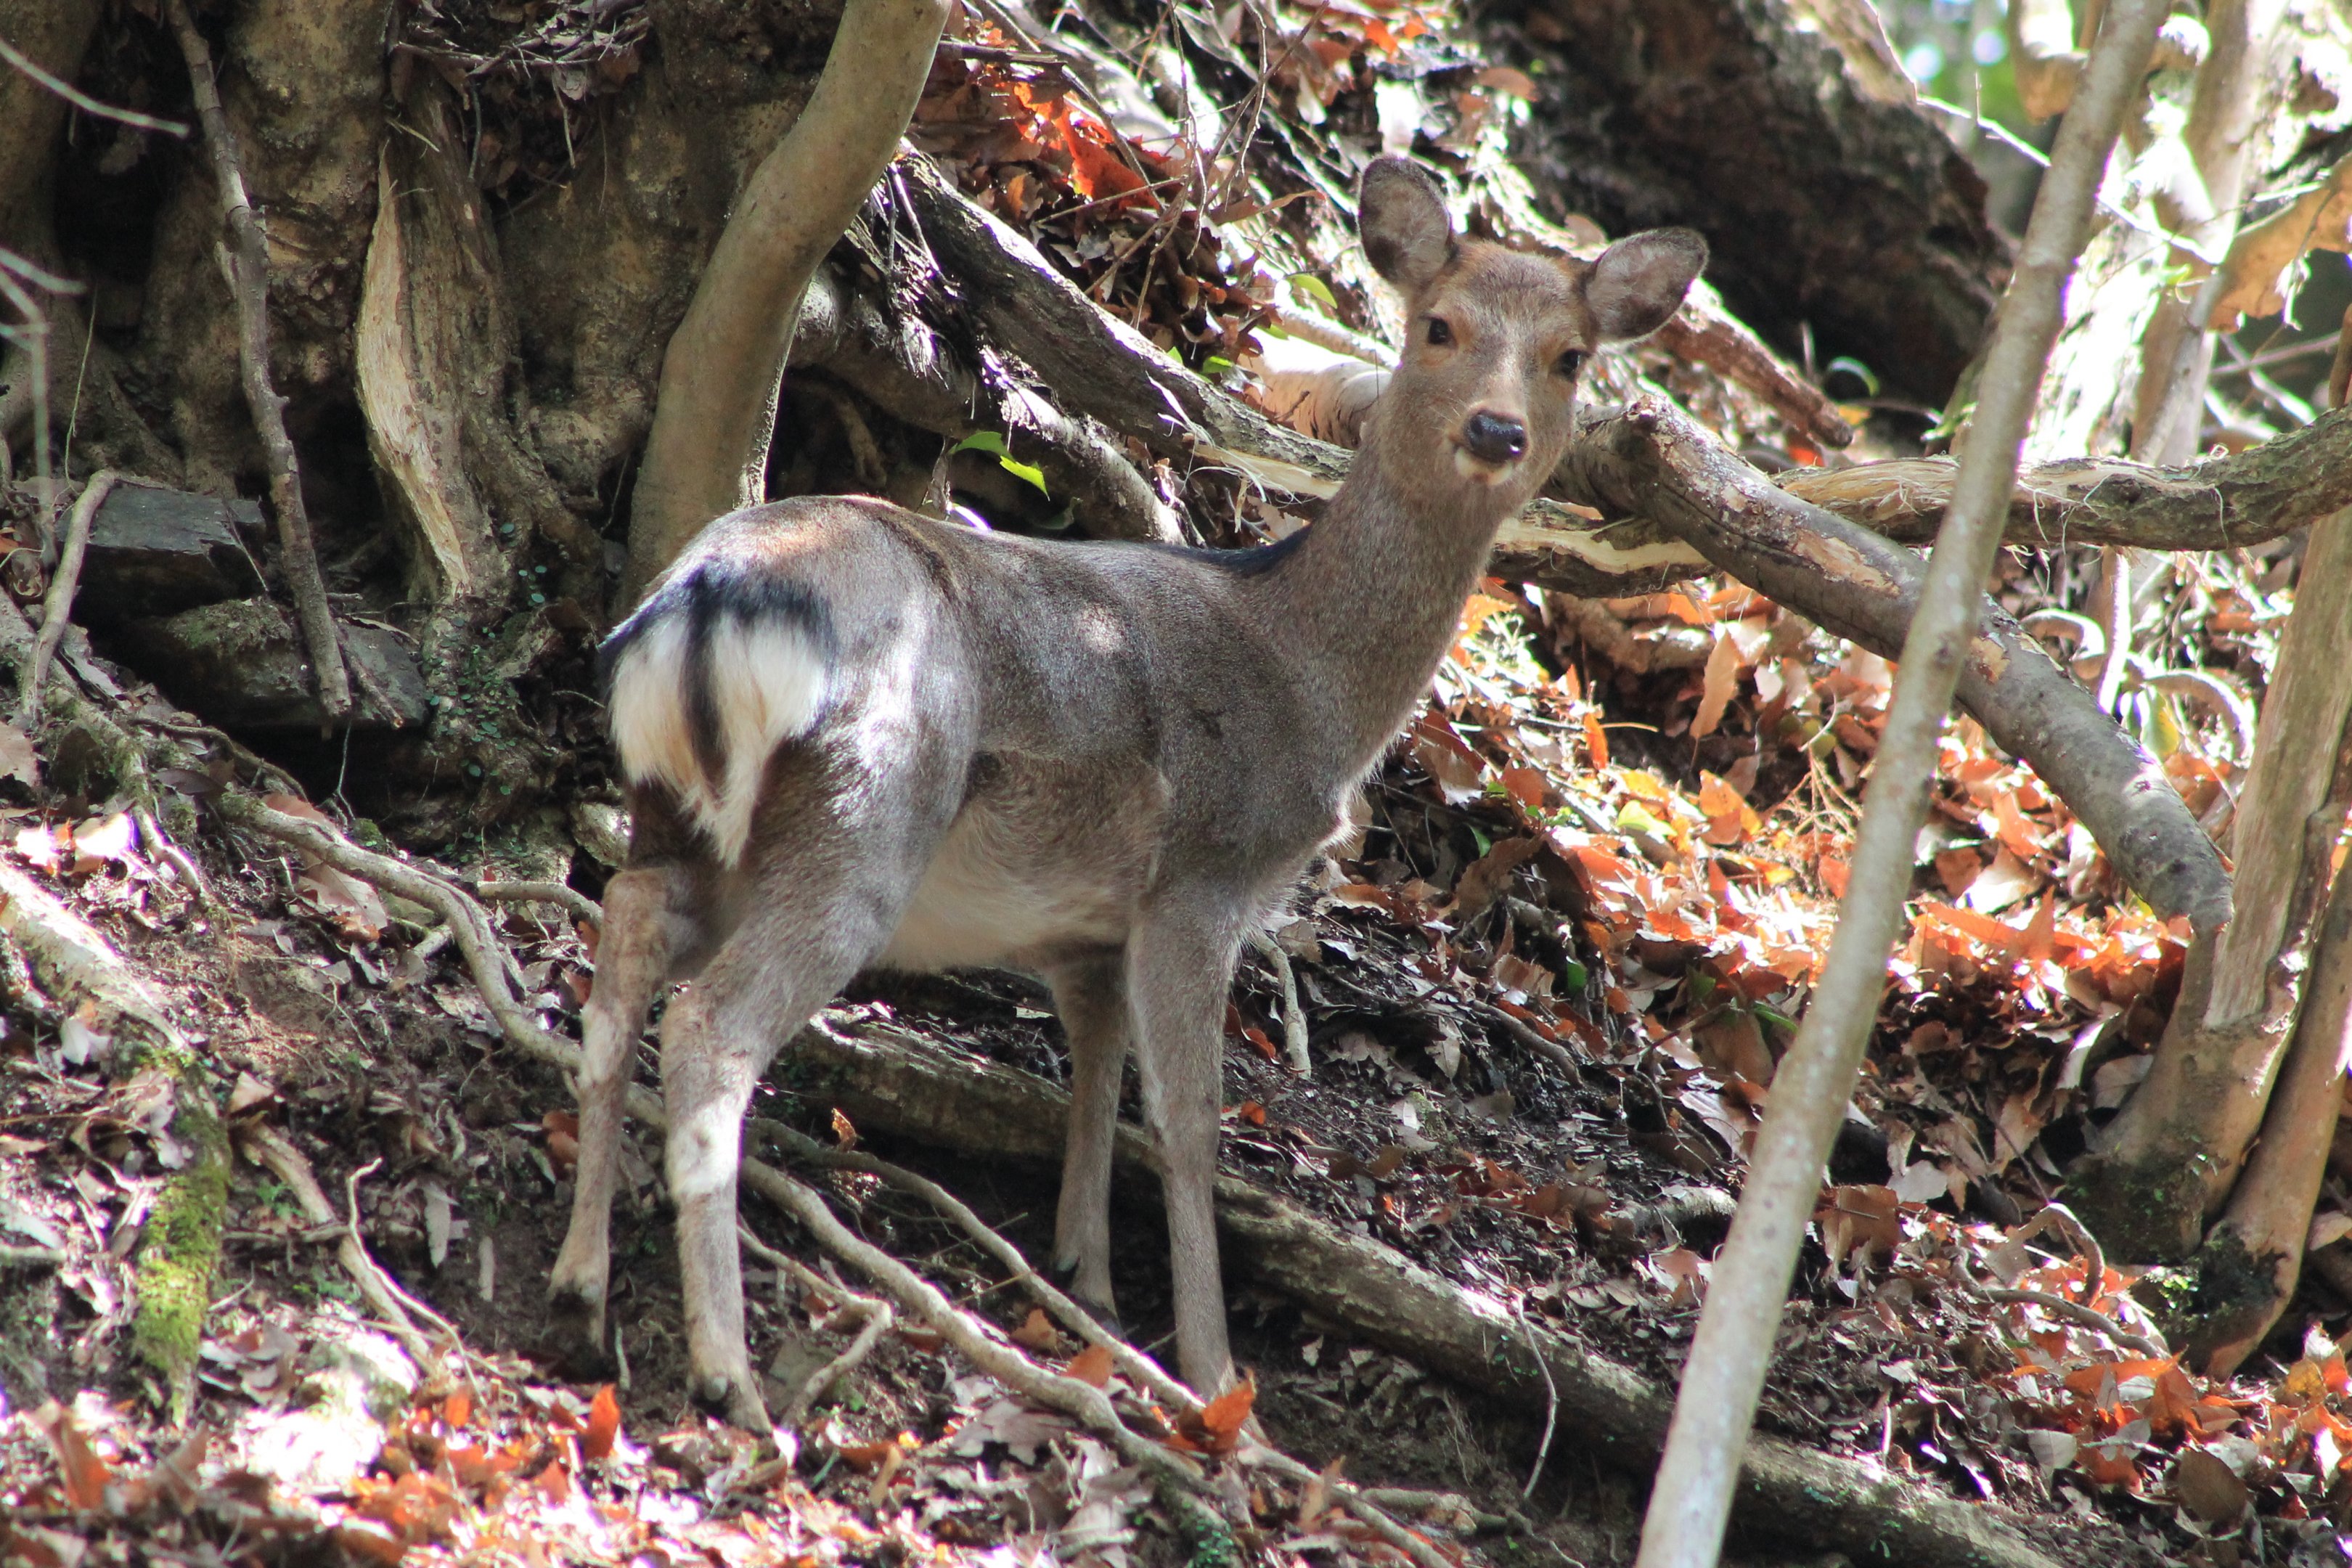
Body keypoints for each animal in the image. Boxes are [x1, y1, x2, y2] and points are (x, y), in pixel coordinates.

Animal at [546, 154, 1705, 1429]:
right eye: (1437, 326)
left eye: (1571, 356)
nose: (1497, 430)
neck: (1307, 681)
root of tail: (703, 602)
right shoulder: (1201, 874)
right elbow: (1190, 1126)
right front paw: (1211, 1374)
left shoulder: (1086, 930)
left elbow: (1095, 1081)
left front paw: (1087, 1283)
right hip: (869, 814)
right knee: (712, 1026)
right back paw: (728, 1371)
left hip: (691, 818)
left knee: (627, 929)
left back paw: (579, 1294)